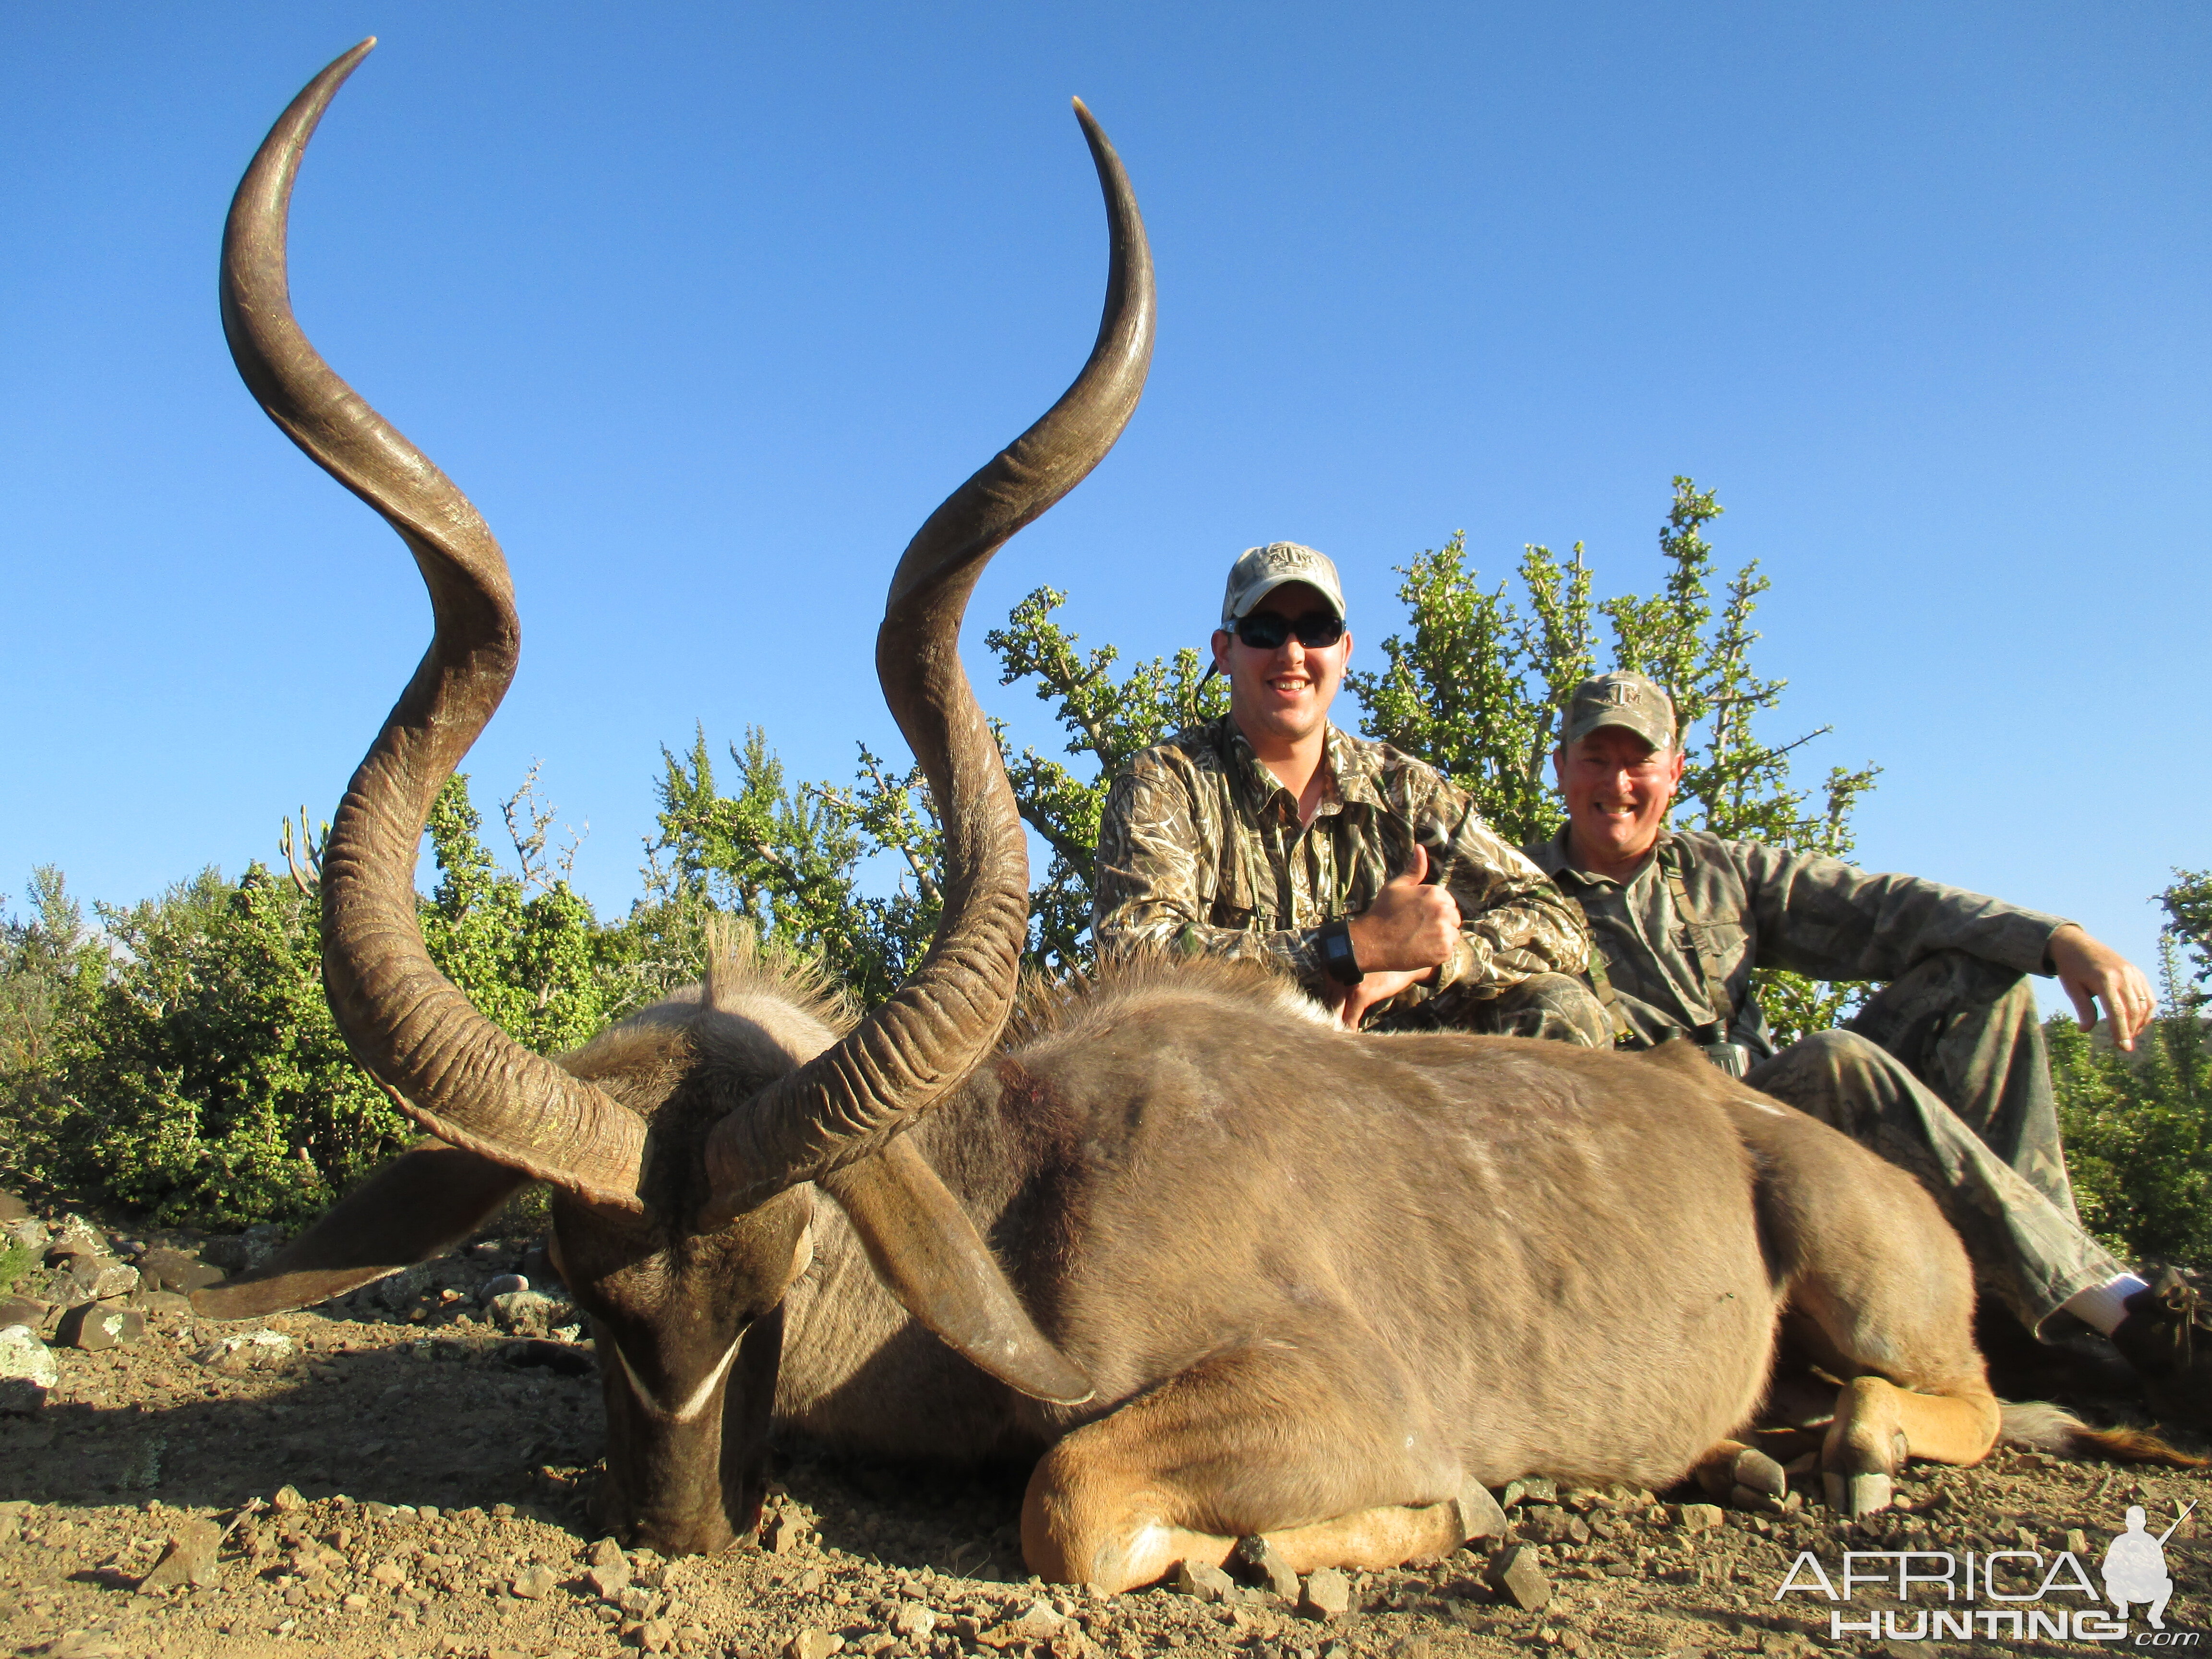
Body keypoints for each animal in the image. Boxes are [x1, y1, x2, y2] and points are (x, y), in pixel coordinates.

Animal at [211, 42, 2026, 1601]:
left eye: (780, 1271)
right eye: (589, 1287)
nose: (681, 1525)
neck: (1010, 1187)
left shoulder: (1330, 1389)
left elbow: (1073, 1499)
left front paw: (1365, 1530)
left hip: (1872, 1289)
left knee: (1952, 1396)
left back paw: (1847, 1445)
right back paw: (1747, 1454)